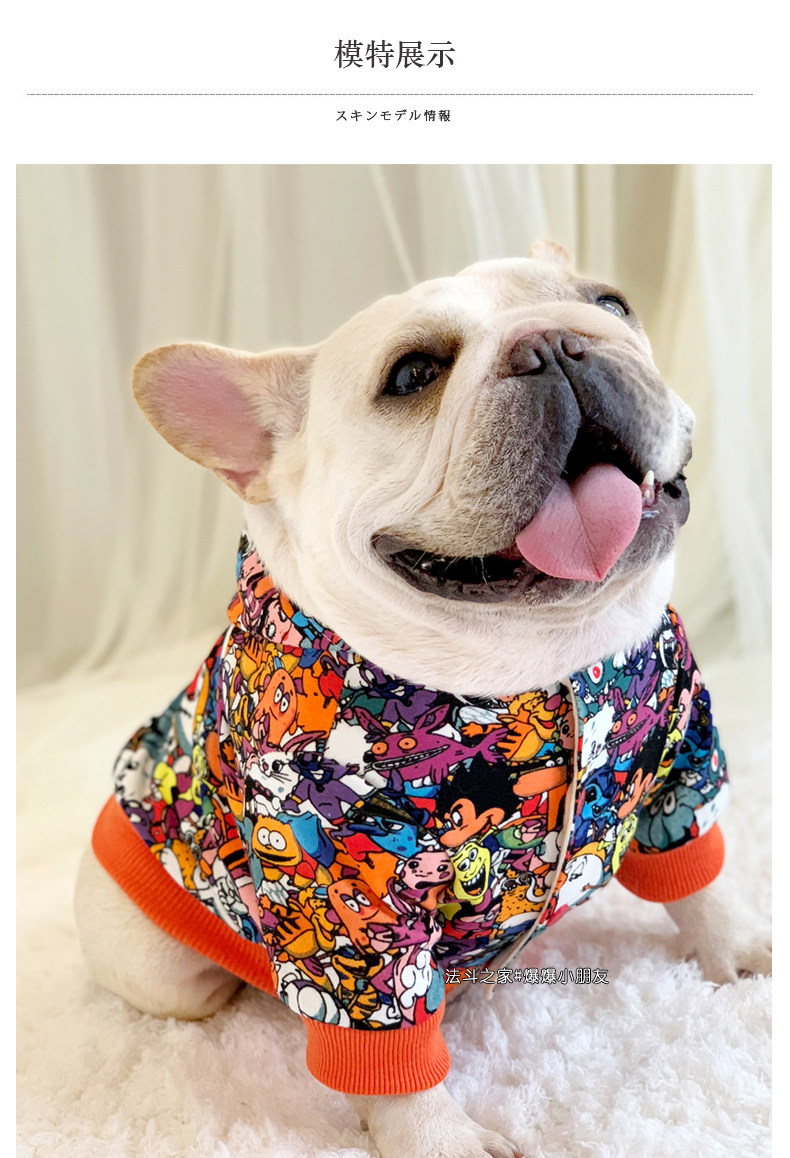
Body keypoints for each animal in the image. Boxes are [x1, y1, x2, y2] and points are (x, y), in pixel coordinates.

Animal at [75, 242, 771, 1158]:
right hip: (158, 966)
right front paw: (441, 1139)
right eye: (411, 375)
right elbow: (393, 1046)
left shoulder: (679, 761)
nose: (555, 344)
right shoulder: (350, 904)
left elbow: (698, 872)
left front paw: (737, 949)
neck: (537, 655)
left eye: (612, 304)